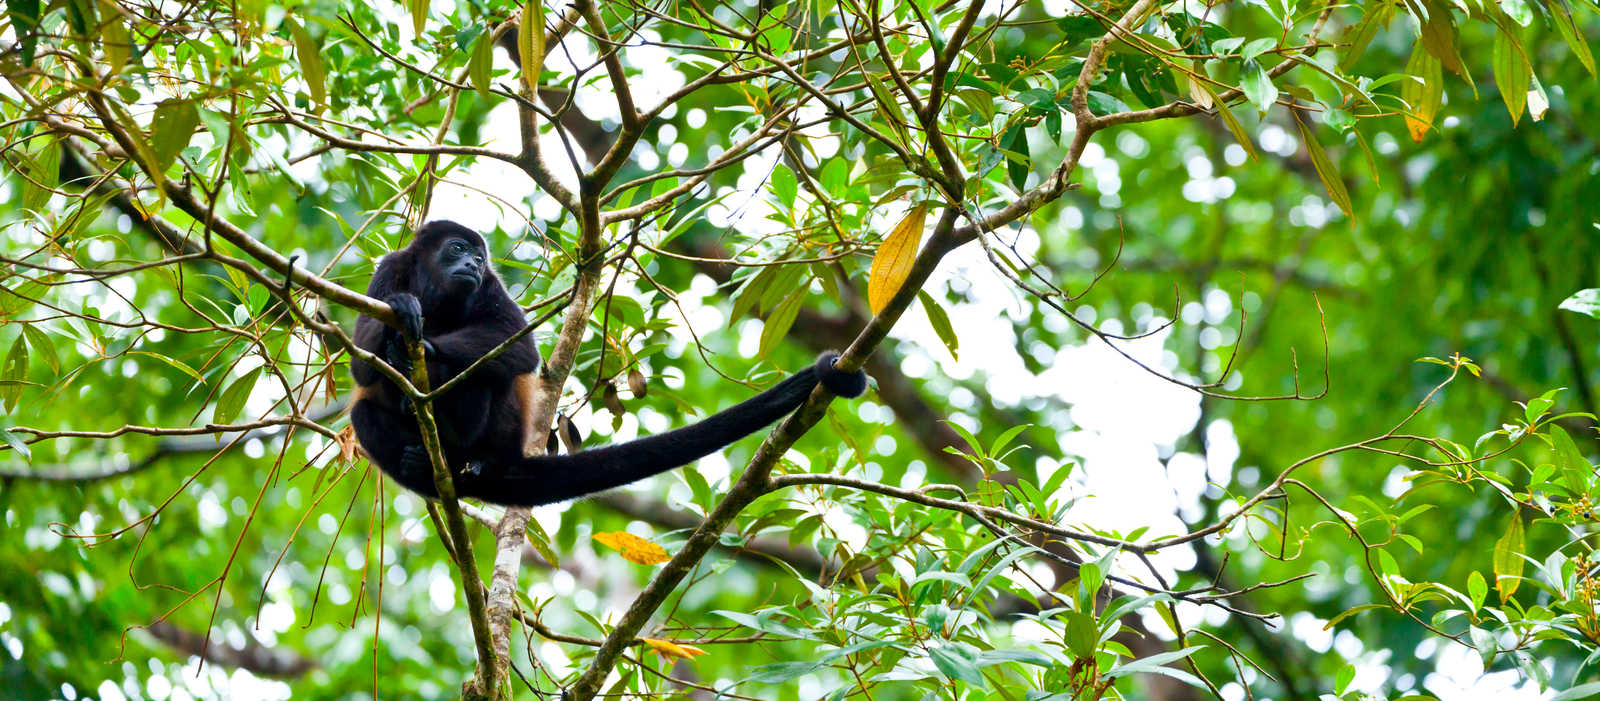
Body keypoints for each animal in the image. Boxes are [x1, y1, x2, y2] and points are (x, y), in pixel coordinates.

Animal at [349, 220, 868, 507]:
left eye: (480, 256)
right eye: (458, 248)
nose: (474, 263)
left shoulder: (491, 286)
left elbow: (518, 350)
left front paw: (426, 352)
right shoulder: (390, 266)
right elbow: (360, 363)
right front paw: (402, 314)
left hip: (497, 437)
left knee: (484, 377)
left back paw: (459, 450)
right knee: (361, 412)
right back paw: (419, 462)